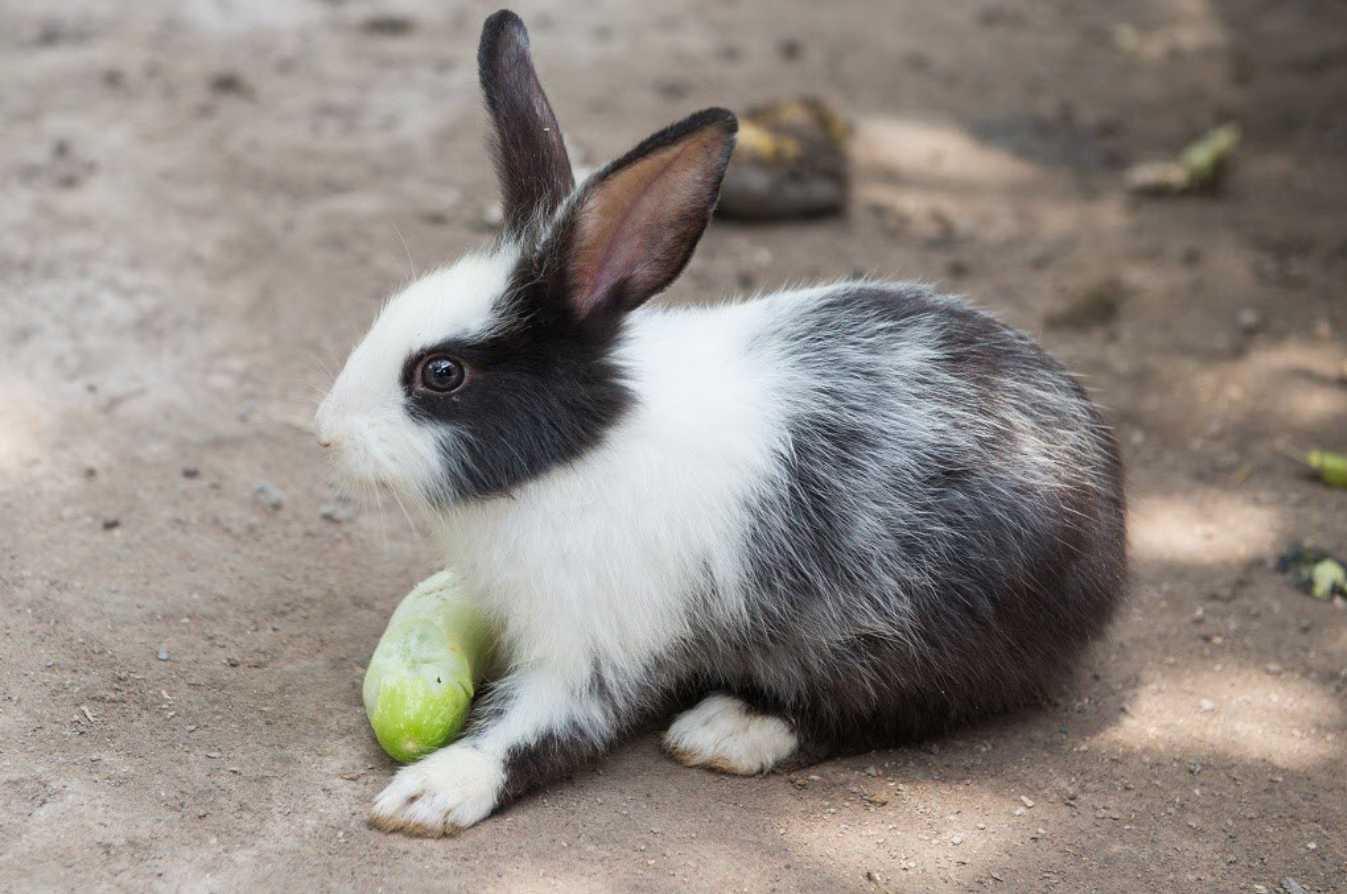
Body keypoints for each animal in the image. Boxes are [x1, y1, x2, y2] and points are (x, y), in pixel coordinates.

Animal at [315, 10, 1126, 840]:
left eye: (441, 374)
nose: (326, 432)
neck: (582, 452)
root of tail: (1107, 518)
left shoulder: (593, 641)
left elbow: (541, 731)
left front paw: (429, 794)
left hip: (920, 634)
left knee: (887, 709)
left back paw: (729, 729)